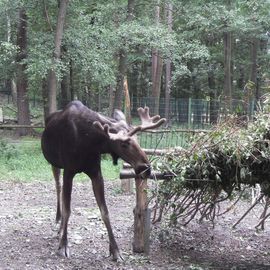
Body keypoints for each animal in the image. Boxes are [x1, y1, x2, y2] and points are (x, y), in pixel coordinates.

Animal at [41, 100, 166, 260]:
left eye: (137, 139)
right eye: (124, 144)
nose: (146, 169)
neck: (88, 142)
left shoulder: (96, 173)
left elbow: (104, 211)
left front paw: (115, 250)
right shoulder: (69, 171)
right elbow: (68, 210)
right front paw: (63, 246)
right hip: (54, 163)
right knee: (58, 187)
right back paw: (59, 222)